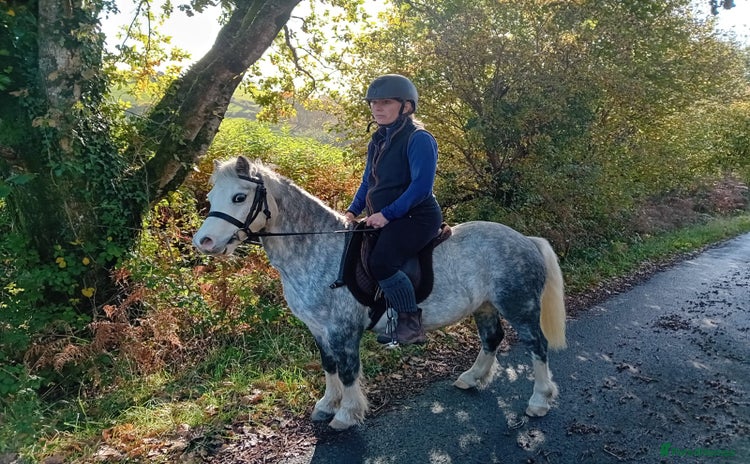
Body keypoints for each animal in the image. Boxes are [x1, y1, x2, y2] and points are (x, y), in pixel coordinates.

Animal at [192, 155, 567, 431]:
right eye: (211, 199)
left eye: (239, 197)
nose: (203, 242)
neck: (318, 248)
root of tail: (525, 240)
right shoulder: (318, 328)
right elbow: (328, 365)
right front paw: (326, 405)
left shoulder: (343, 329)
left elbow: (347, 370)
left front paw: (346, 415)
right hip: (485, 305)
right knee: (492, 339)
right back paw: (471, 378)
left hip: (519, 306)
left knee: (537, 346)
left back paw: (539, 401)